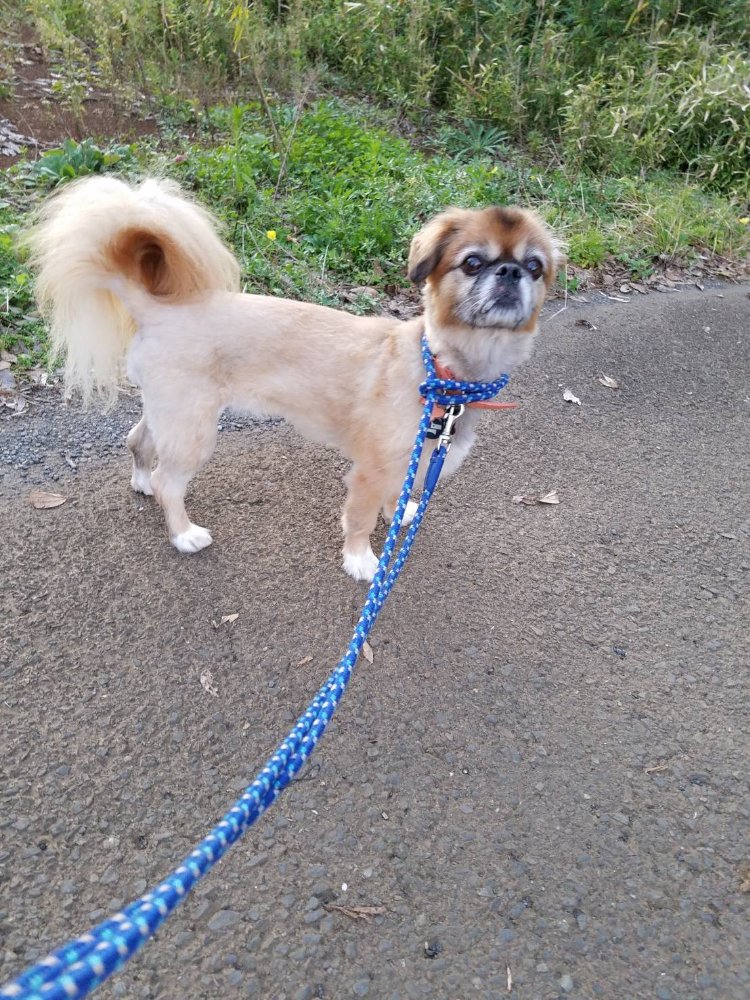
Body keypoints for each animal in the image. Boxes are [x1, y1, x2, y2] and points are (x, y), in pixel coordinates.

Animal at [25, 176, 562, 580]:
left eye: (535, 267)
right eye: (472, 262)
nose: (511, 272)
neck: (444, 374)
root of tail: (154, 307)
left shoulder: (413, 459)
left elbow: (397, 494)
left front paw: (402, 513)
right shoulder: (368, 471)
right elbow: (360, 519)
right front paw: (361, 561)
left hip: (170, 412)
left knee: (138, 442)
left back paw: (140, 483)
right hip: (193, 428)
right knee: (168, 481)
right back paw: (183, 534)